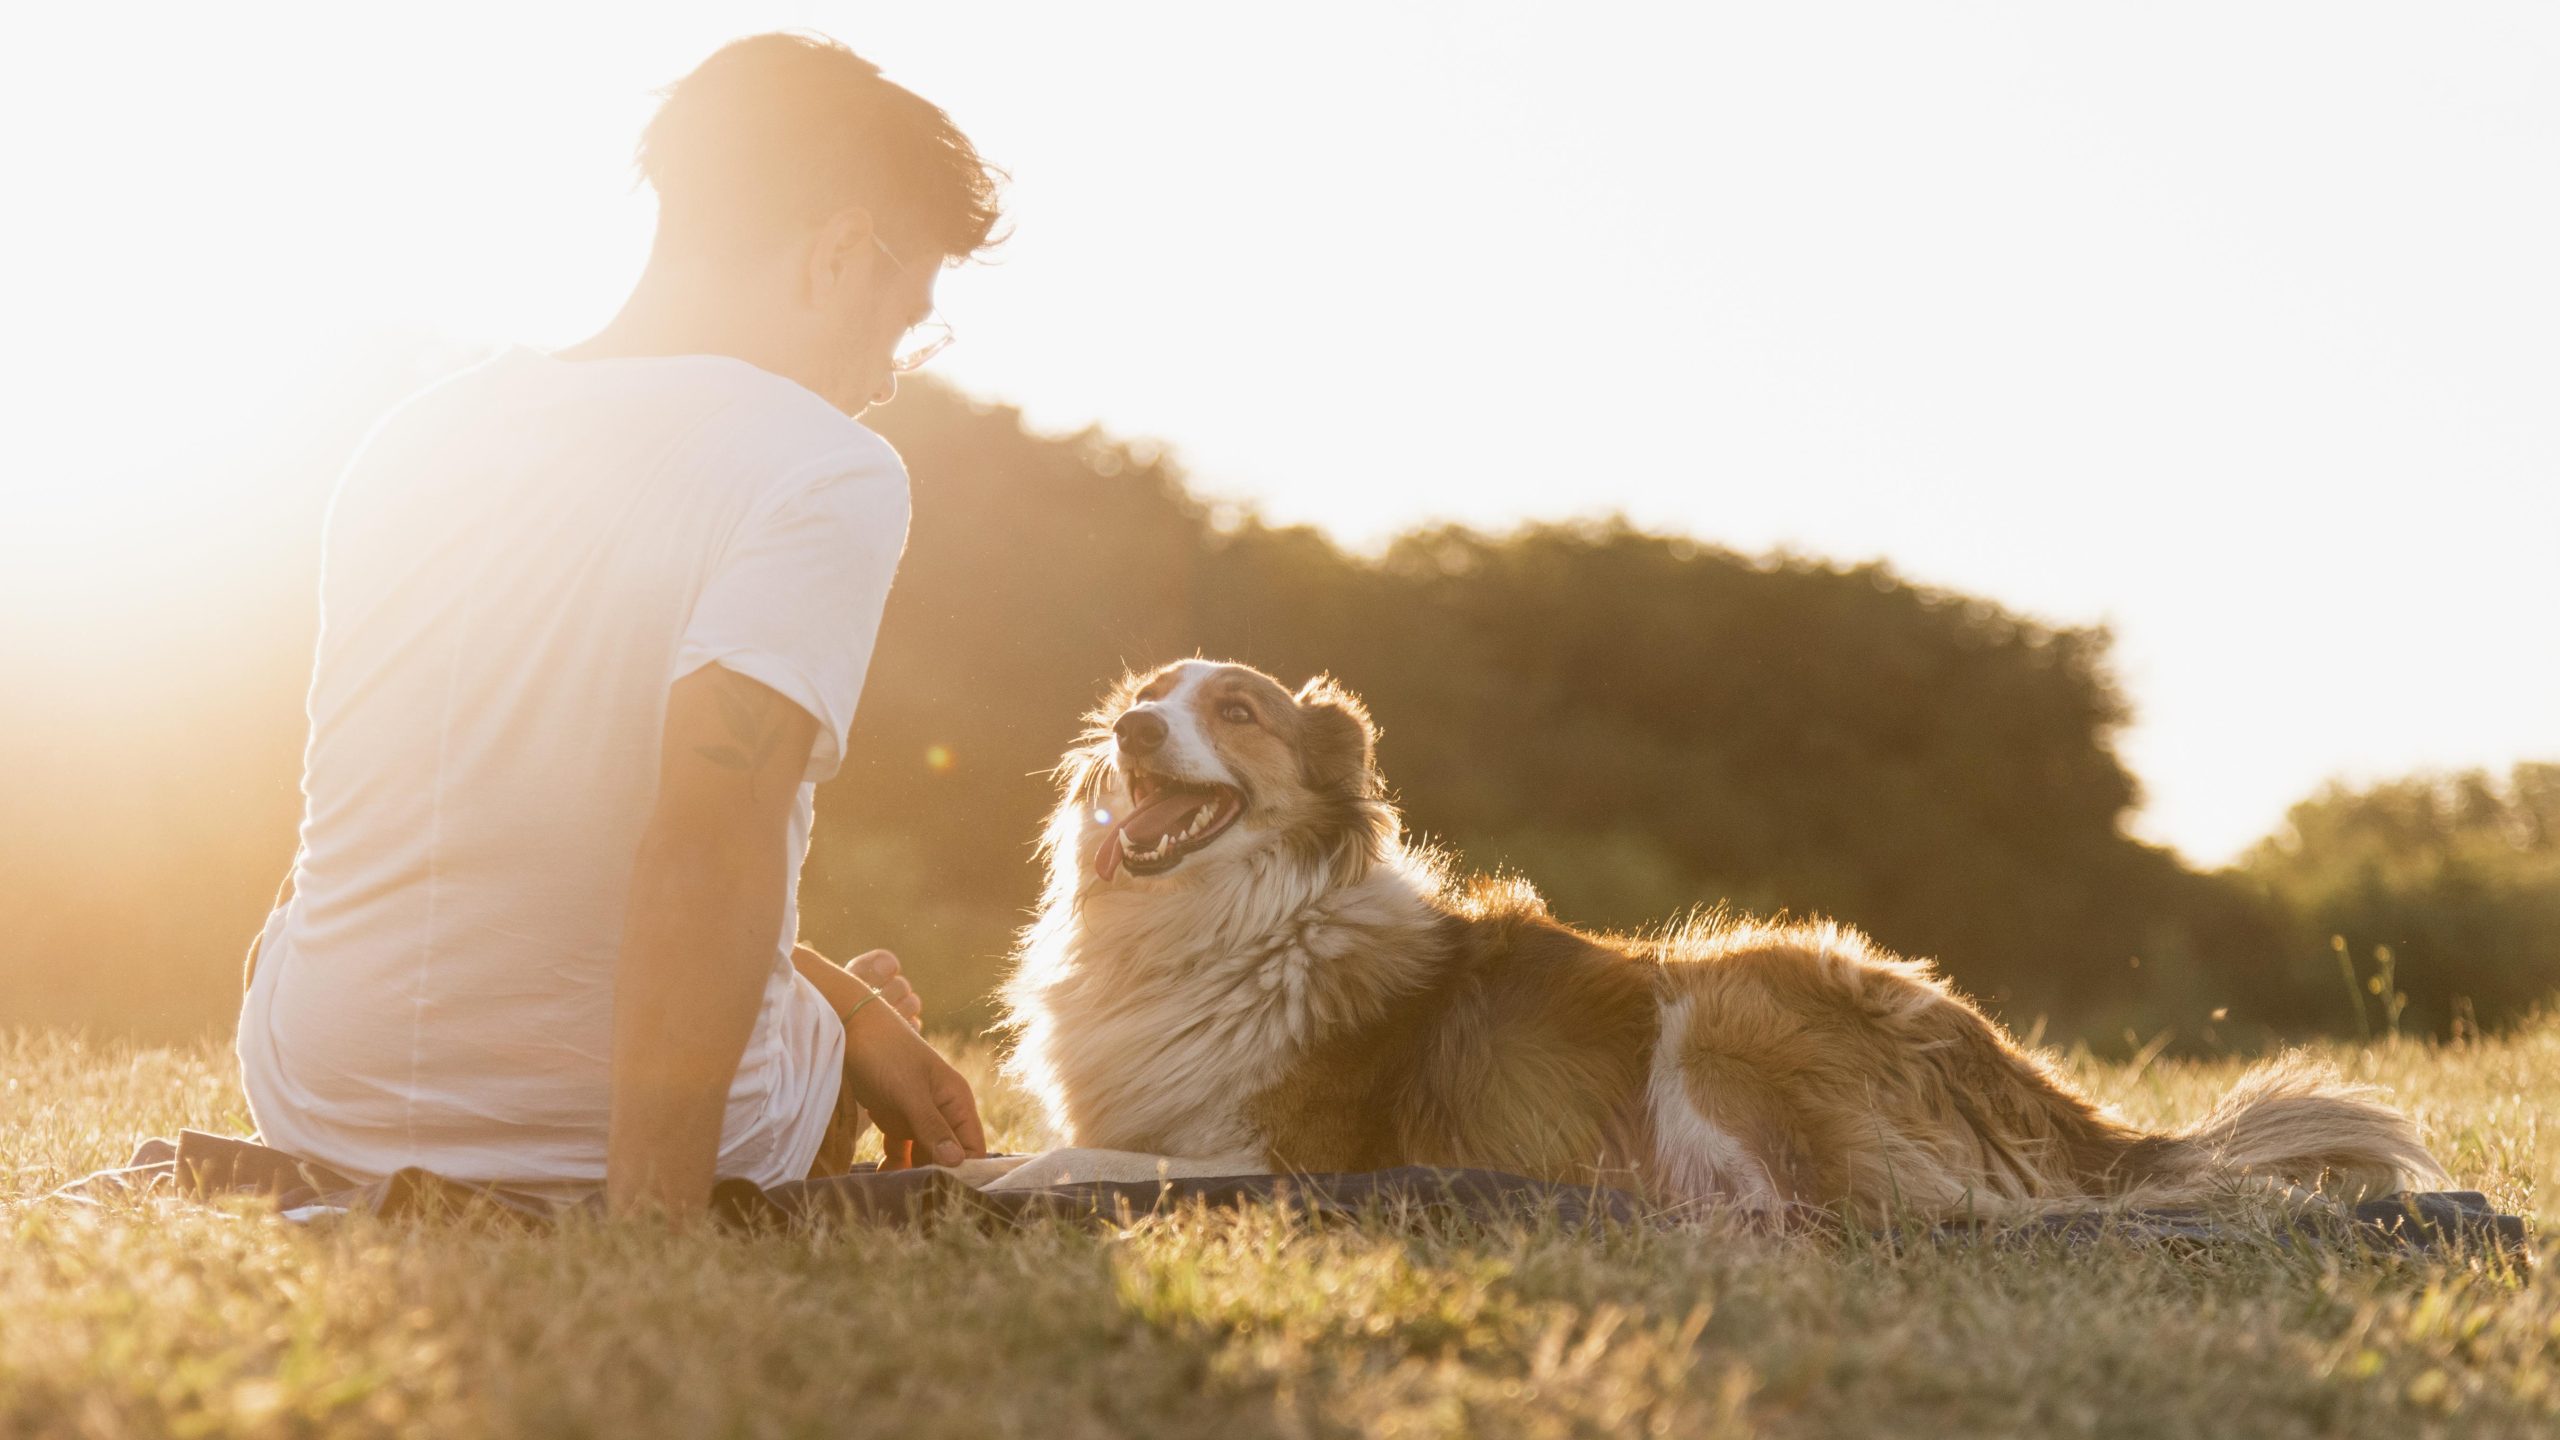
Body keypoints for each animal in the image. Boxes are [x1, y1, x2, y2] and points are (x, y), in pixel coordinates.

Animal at [983, 655, 2457, 1214]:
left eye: (1234, 709)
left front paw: (1007, 1177)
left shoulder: (1293, 1157)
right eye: (1143, 693)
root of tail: (2009, 1069)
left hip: (1724, 1006)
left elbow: (1093, 1159)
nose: (1127, 729)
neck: (1222, 922)